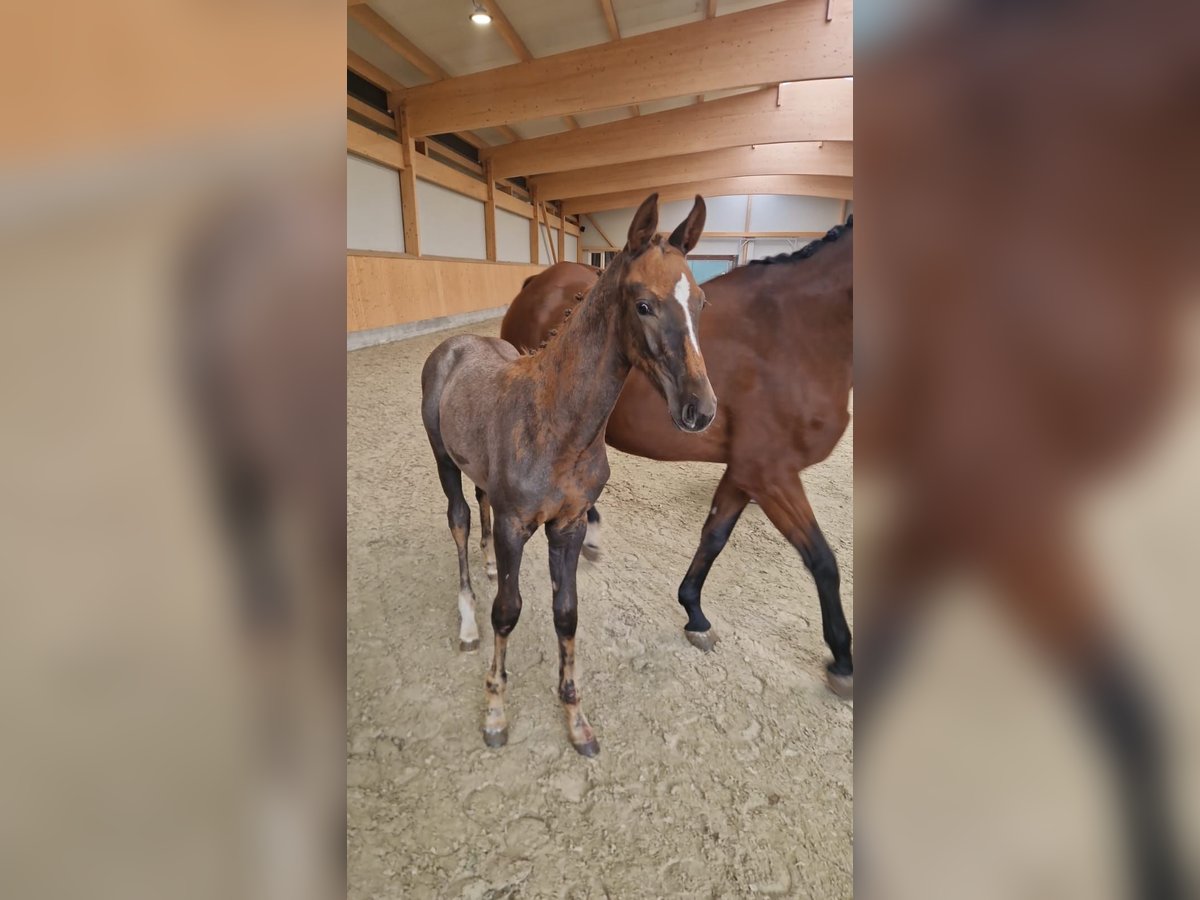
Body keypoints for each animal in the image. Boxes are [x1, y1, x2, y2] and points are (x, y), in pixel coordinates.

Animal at [421, 193, 717, 756]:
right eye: (643, 304)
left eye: (700, 303)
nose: (701, 409)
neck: (557, 424)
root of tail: (455, 344)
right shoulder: (516, 525)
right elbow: (507, 610)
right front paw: (495, 712)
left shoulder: (570, 524)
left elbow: (567, 612)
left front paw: (576, 718)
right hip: (444, 460)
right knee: (460, 520)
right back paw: (467, 620)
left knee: (480, 503)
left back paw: (487, 566)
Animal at [501, 222, 855, 696]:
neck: (792, 333)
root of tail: (539, 281)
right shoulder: (771, 474)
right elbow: (822, 561)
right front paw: (843, 658)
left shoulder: (745, 473)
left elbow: (714, 537)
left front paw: (694, 612)